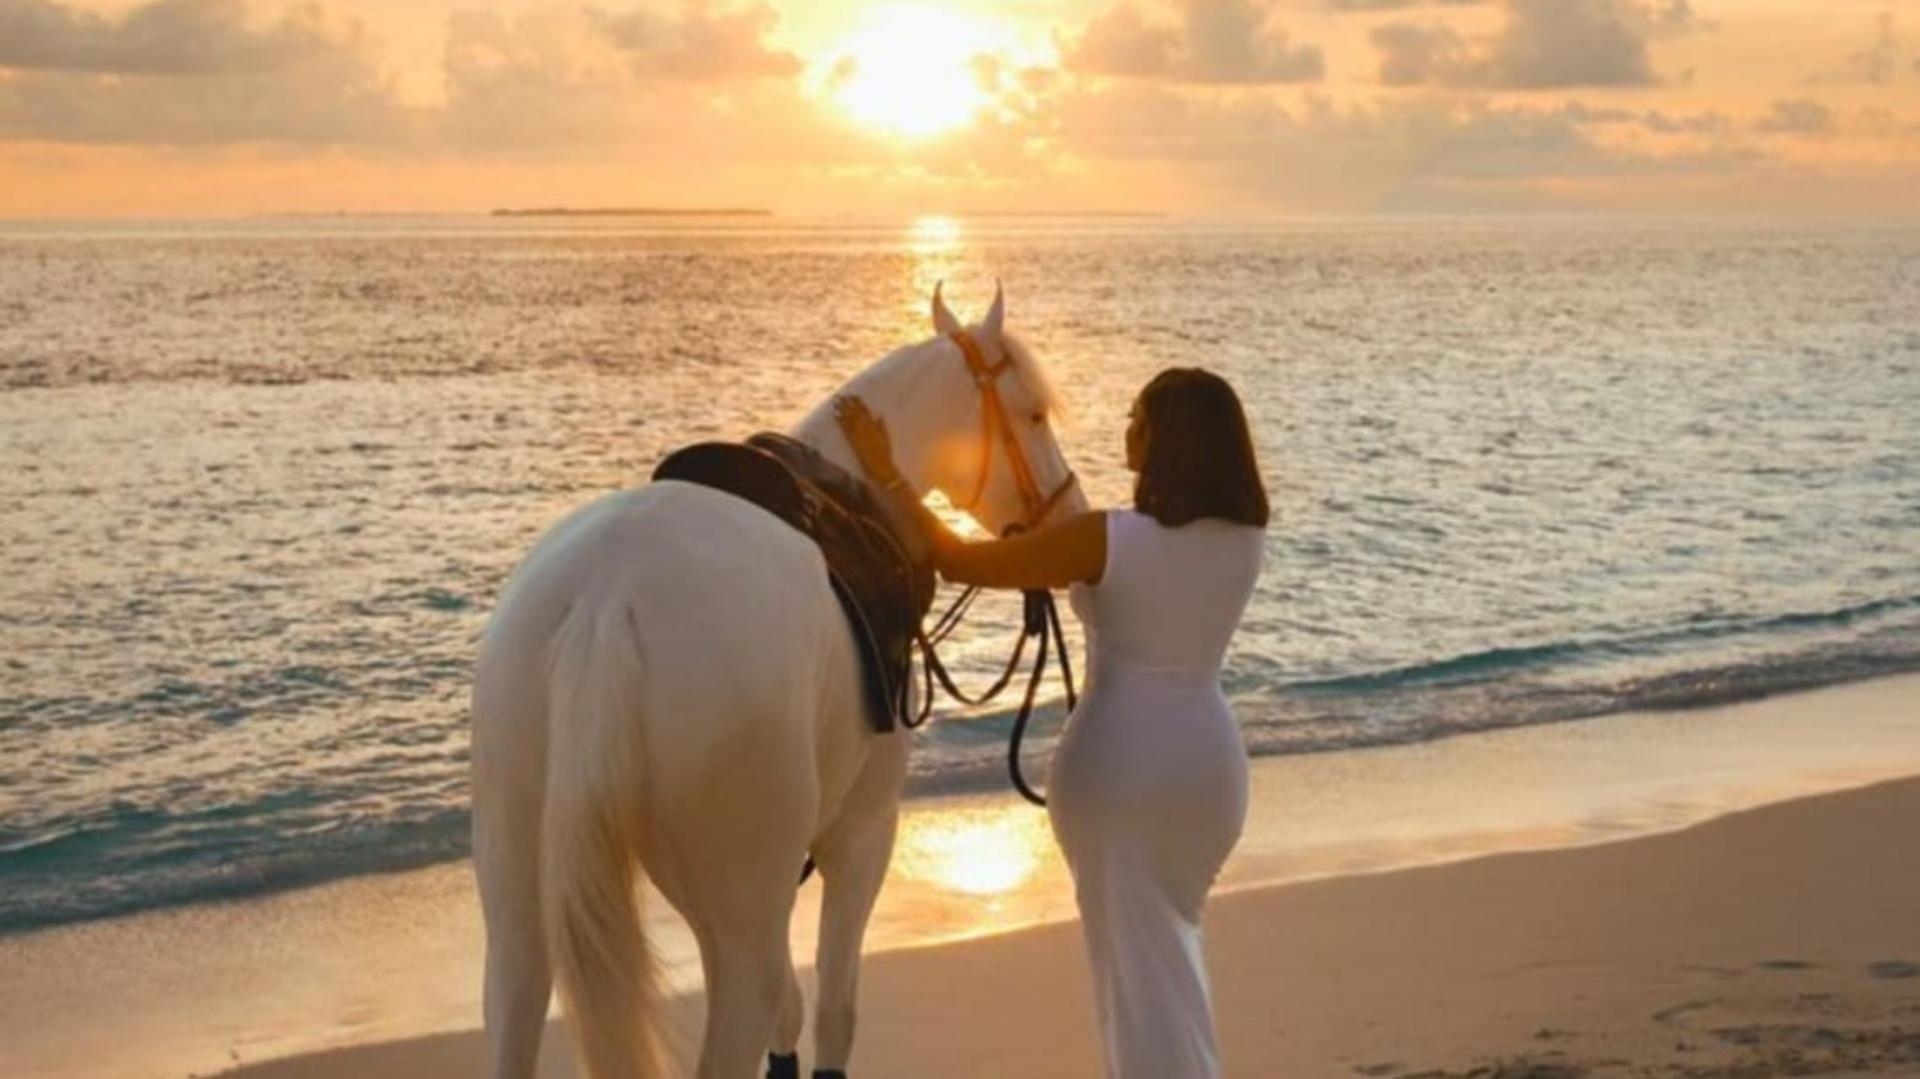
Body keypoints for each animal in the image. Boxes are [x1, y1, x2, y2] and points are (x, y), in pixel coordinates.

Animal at [470, 283, 1084, 1079]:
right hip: (740, 905)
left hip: (522, 902)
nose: (1074, 514)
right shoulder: (860, 835)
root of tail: (606, 602)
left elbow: (789, 1012)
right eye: (1033, 413)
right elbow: (831, 1011)